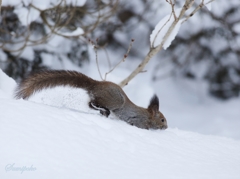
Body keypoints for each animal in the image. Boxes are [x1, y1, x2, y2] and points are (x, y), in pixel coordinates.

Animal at [15, 70, 169, 130]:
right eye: (162, 120)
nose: (166, 127)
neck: (148, 116)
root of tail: (95, 84)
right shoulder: (139, 121)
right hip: (115, 101)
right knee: (93, 103)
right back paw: (103, 111)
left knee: (91, 103)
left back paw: (103, 112)